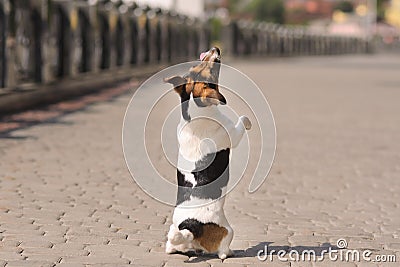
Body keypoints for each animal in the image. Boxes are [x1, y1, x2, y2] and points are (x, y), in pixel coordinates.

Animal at [163, 47, 252, 260]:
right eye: (210, 72)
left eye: (195, 66)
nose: (215, 49)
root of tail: (191, 227)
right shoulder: (234, 133)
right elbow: (242, 120)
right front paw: (248, 122)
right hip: (229, 231)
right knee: (222, 251)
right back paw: (230, 252)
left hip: (175, 237)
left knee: (172, 245)